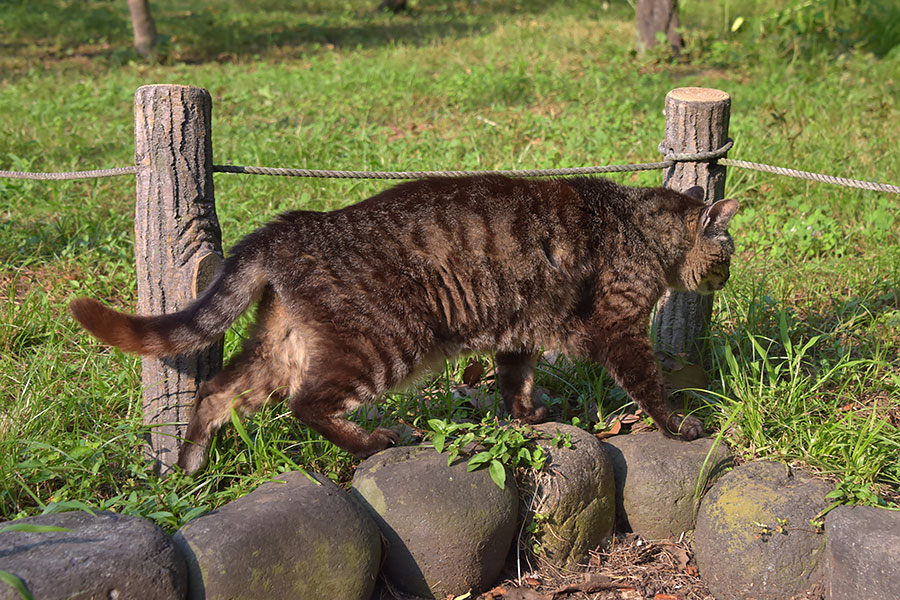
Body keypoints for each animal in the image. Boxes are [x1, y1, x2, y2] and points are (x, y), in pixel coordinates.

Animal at [72, 176, 740, 476]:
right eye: (729, 253)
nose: (730, 275)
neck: (641, 225)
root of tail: (294, 225)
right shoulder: (619, 327)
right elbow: (650, 385)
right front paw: (680, 427)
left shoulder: (520, 331)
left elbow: (514, 382)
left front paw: (527, 416)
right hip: (385, 344)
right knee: (307, 404)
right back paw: (376, 441)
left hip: (282, 345)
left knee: (217, 390)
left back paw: (189, 465)